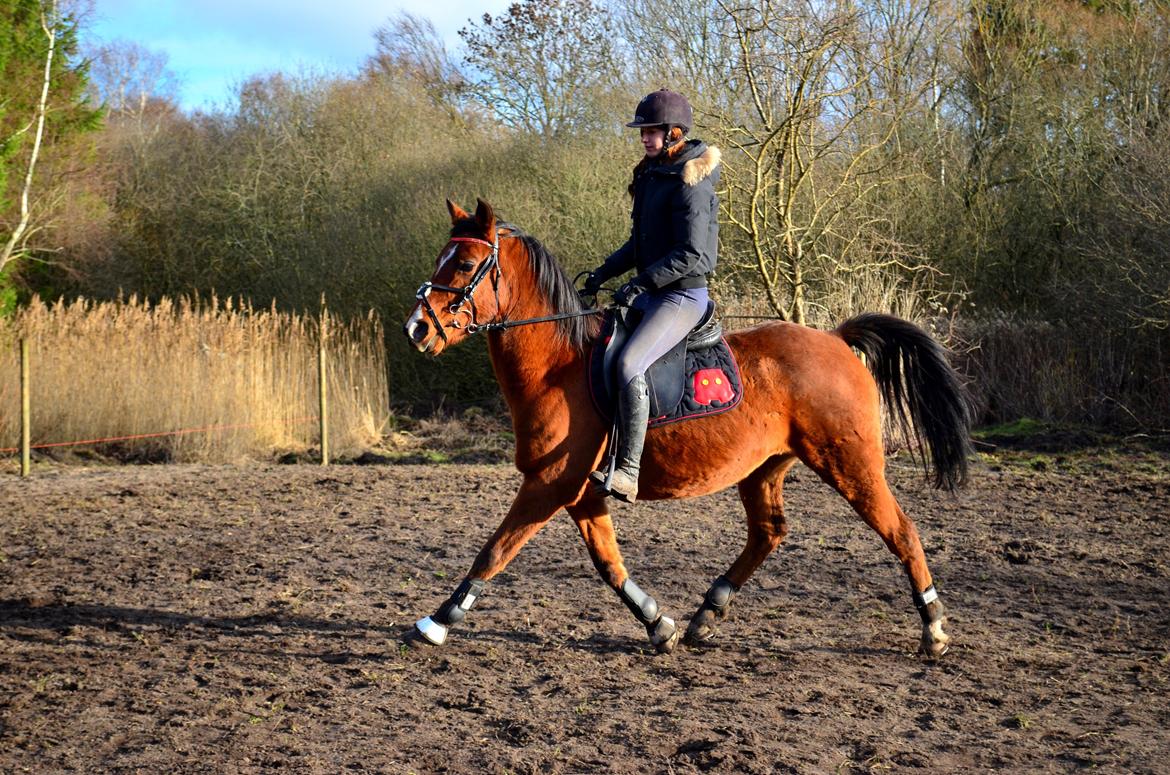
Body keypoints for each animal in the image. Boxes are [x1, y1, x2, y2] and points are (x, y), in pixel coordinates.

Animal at [403, 198, 972, 658]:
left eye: (467, 264)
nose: (417, 329)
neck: (558, 363)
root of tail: (835, 339)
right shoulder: (579, 491)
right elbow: (609, 563)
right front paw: (659, 625)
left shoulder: (549, 483)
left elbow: (495, 551)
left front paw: (435, 623)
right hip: (764, 468)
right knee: (768, 533)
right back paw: (706, 615)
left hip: (849, 463)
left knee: (901, 531)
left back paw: (933, 629)